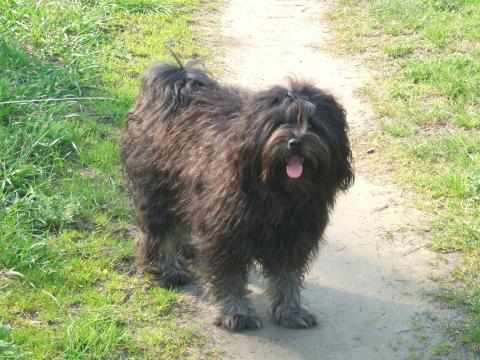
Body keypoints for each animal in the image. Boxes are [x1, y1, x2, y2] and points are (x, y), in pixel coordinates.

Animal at [120, 59, 352, 332]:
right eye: (279, 122)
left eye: (313, 124)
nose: (295, 142)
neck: (279, 193)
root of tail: (178, 86)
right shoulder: (225, 236)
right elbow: (229, 277)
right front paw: (238, 313)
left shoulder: (293, 238)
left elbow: (288, 276)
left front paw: (291, 310)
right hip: (157, 192)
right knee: (158, 234)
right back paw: (167, 269)